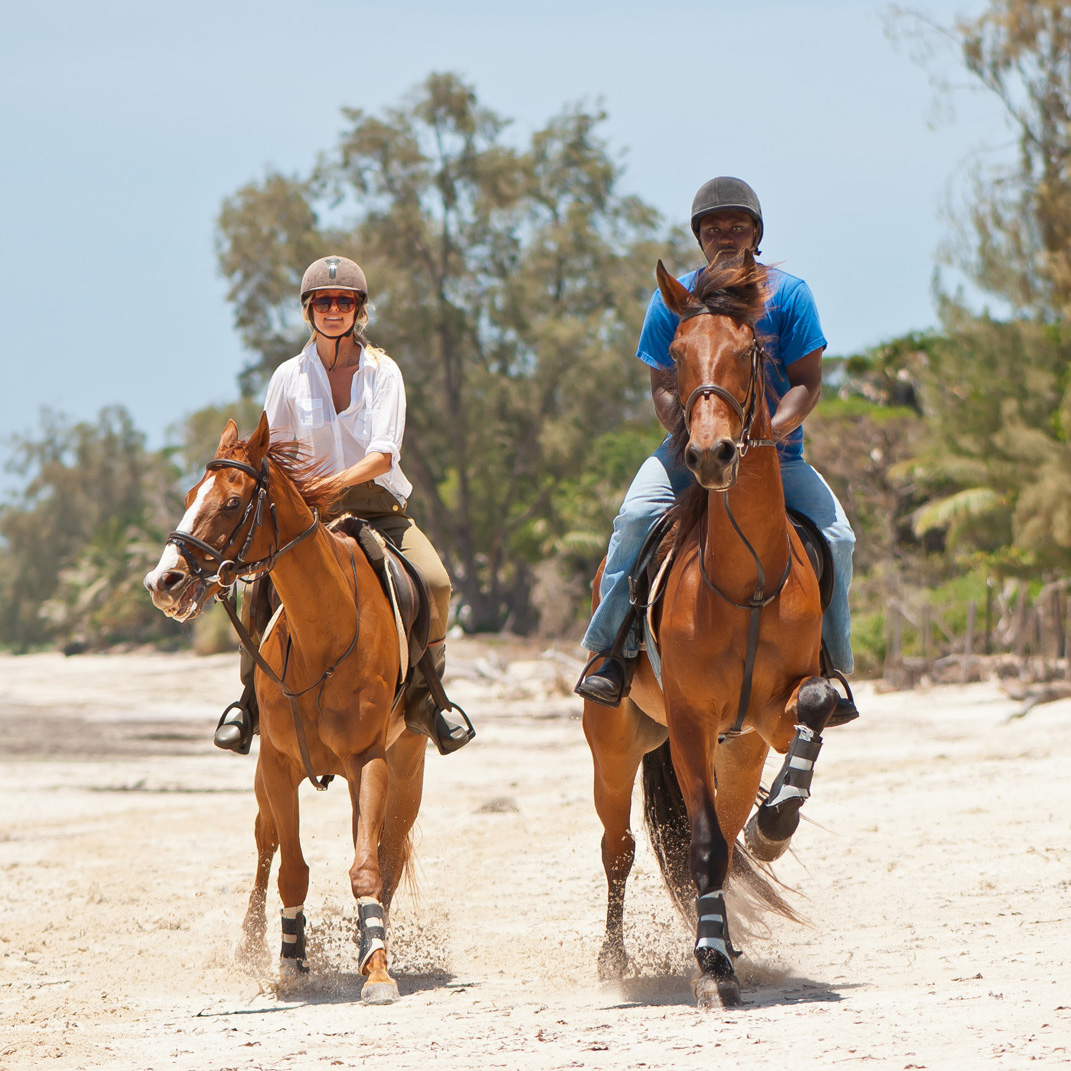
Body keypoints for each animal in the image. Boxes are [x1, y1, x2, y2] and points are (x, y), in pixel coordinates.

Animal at [143, 411, 426, 1002]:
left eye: (232, 502)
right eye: (190, 494)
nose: (163, 582)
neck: (324, 634)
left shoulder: (370, 762)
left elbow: (368, 866)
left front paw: (377, 966)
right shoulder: (276, 765)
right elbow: (290, 869)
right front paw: (290, 959)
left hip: (405, 772)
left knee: (386, 852)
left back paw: (370, 943)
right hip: (265, 780)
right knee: (265, 843)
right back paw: (250, 943)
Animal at [582, 254, 839, 1006]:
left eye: (749, 352)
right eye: (673, 353)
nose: (710, 455)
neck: (746, 579)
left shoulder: (773, 715)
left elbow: (815, 706)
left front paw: (775, 825)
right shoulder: (692, 721)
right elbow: (699, 846)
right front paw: (712, 971)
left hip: (739, 748)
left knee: (722, 832)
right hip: (615, 745)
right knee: (619, 848)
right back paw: (617, 959)